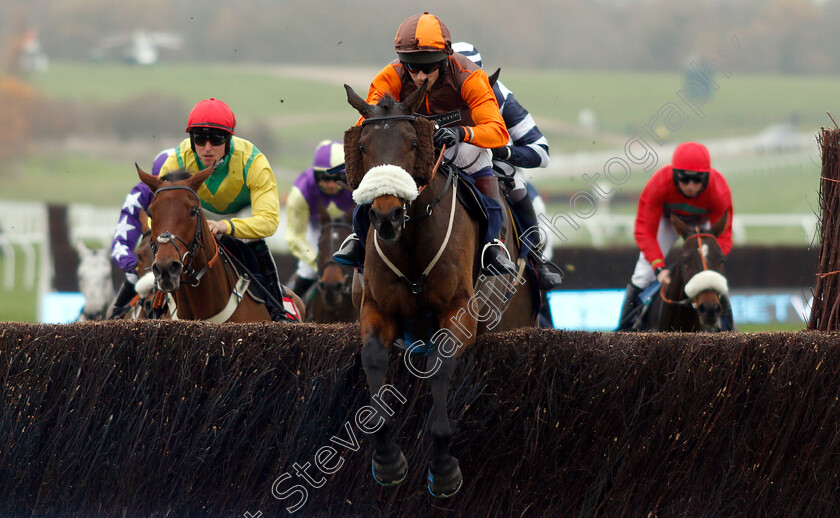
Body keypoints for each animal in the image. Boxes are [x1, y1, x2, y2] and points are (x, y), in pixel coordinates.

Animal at [342, 81, 536, 500]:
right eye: (363, 146)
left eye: (413, 143)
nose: (386, 216)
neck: (412, 240)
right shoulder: (376, 309)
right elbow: (373, 358)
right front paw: (387, 460)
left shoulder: (460, 311)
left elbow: (440, 365)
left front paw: (444, 468)